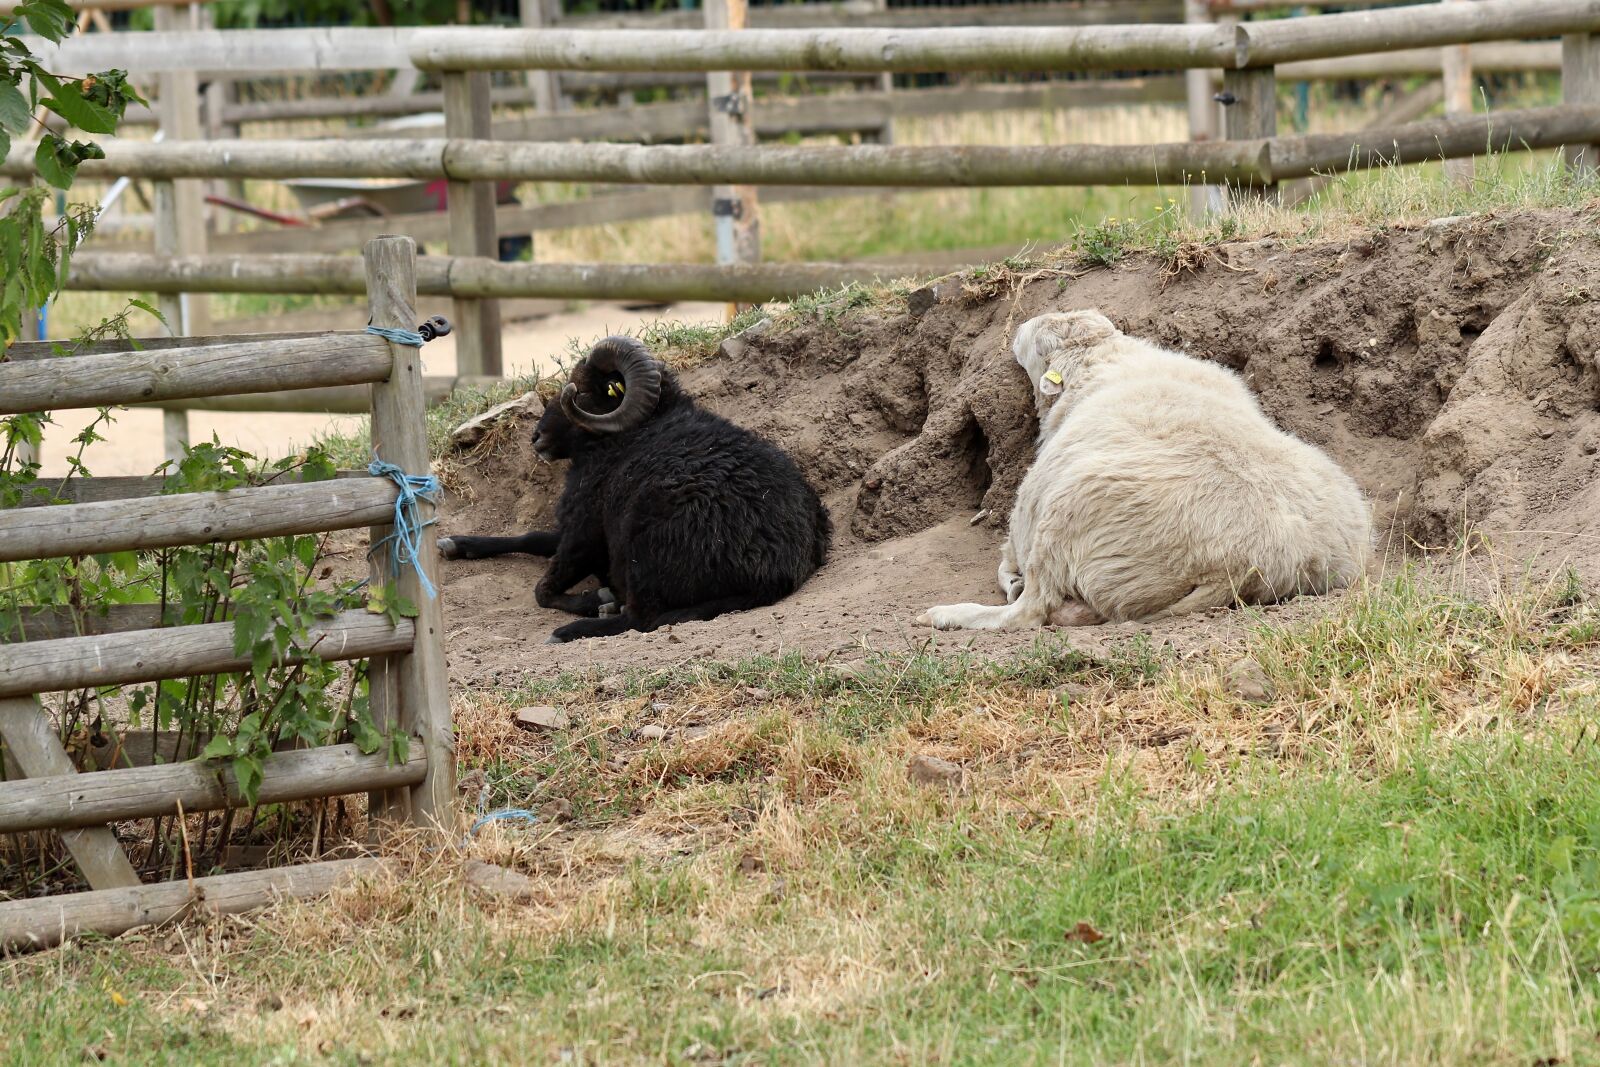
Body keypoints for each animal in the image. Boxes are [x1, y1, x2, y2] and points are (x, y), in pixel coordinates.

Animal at [438, 335, 832, 643]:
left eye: (581, 390)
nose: (537, 437)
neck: (628, 434)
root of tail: (775, 565)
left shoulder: (583, 534)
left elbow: (543, 591)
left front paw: (596, 600)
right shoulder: (577, 531)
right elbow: (530, 537)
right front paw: (457, 544)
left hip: (642, 547)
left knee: (640, 618)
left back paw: (573, 628)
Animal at [919, 309, 1372, 631]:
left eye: (1041, 342)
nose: (1018, 329)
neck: (1105, 361)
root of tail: (1245, 564)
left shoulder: (1030, 508)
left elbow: (1007, 558)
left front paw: (1008, 579)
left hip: (1070, 510)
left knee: (1031, 612)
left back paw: (946, 614)